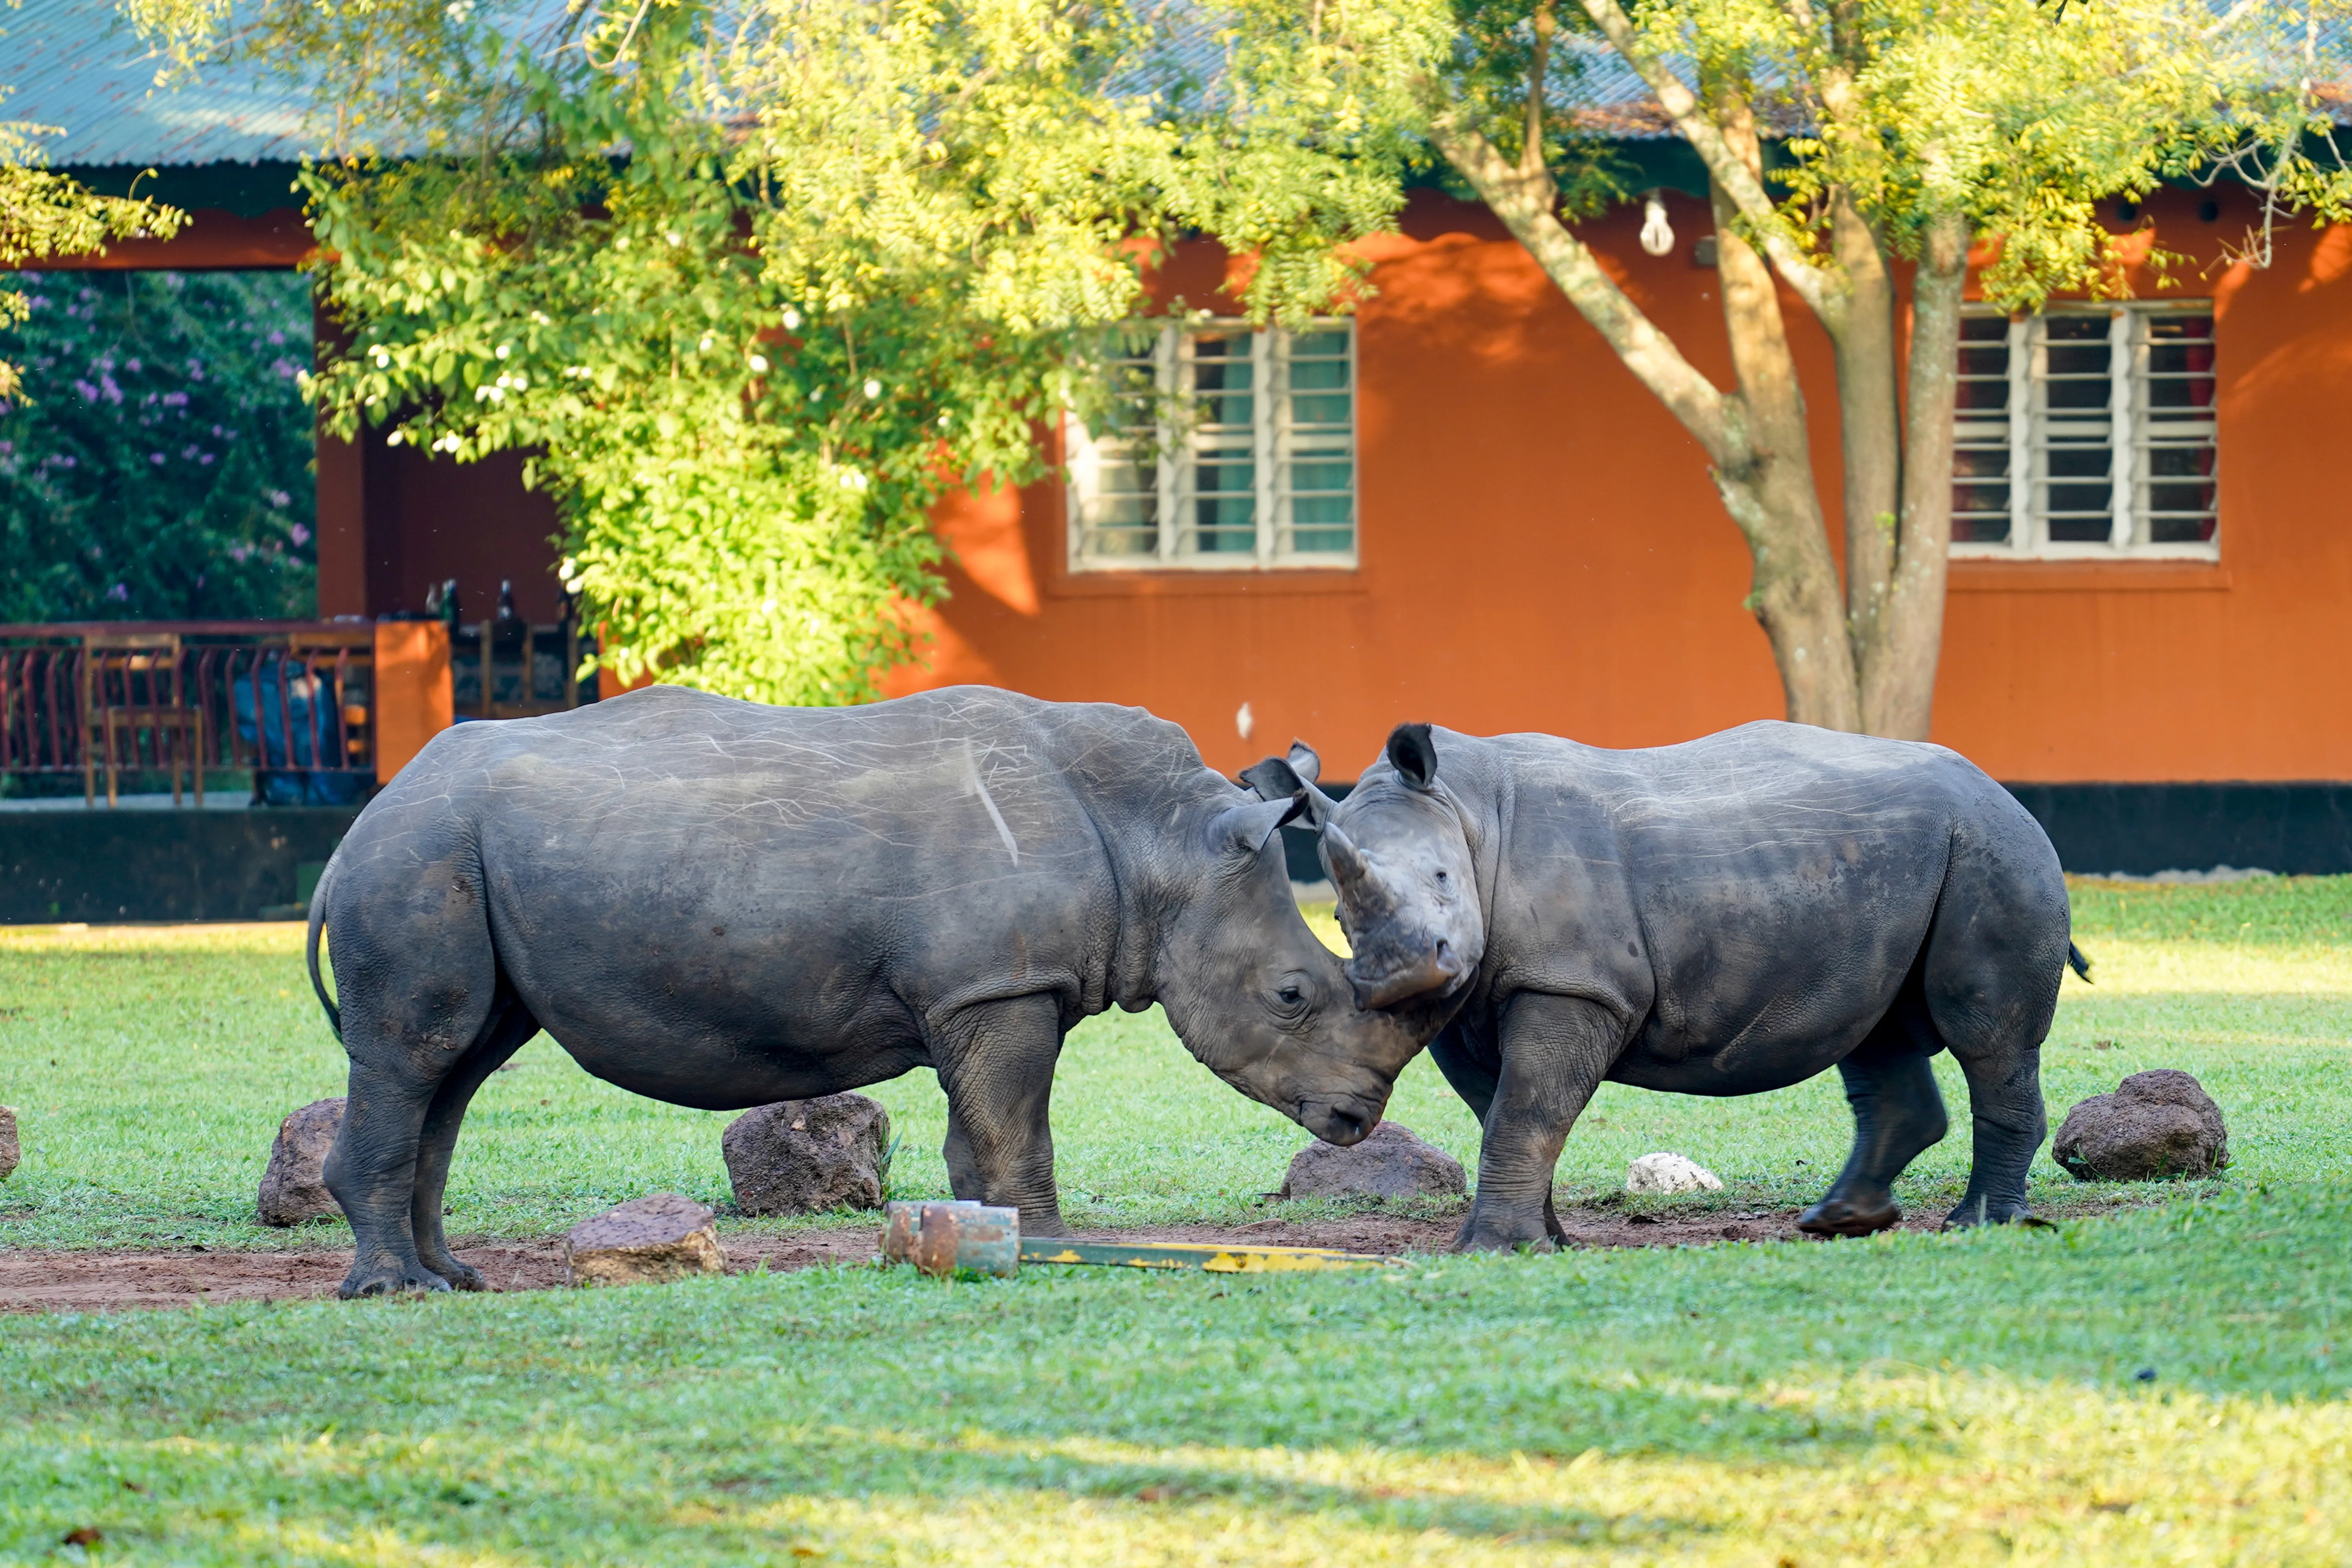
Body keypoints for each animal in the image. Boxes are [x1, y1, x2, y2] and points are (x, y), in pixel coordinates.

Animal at [306, 684, 1425, 1298]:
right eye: (1291, 996)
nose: (1359, 1118)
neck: (1163, 842)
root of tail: (366, 814)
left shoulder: (981, 992)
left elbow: (979, 1135)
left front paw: (982, 1236)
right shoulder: (997, 987)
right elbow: (1019, 1129)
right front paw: (1051, 1249)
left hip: (450, 850)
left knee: (459, 1064)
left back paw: (453, 1278)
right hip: (418, 854)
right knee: (418, 1053)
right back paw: (393, 1289)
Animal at [1245, 721, 2084, 1250]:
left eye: (1445, 879)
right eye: (1342, 915)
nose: (1407, 975)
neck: (1466, 811)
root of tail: (1997, 787)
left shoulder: (1573, 984)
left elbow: (1528, 1109)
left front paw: (1488, 1249)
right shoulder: (1473, 1004)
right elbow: (1508, 1114)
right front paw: (1545, 1242)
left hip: (1992, 846)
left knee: (1986, 1038)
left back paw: (1979, 1225)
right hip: (1891, 869)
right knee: (1872, 1029)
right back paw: (1841, 1220)